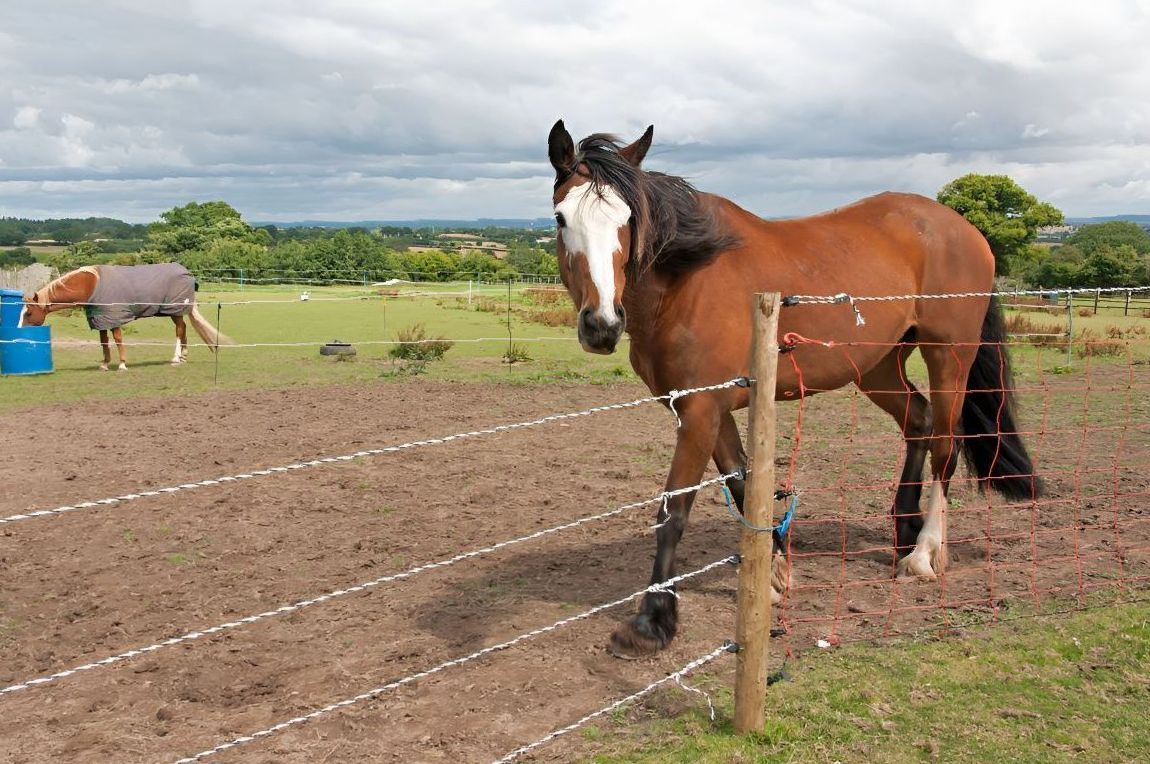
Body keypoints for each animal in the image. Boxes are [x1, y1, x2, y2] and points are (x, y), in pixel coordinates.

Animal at [19, 263, 232, 371]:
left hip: (175, 310)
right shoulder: (101, 319)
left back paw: (175, 358)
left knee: (179, 331)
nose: (19, 332)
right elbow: (104, 341)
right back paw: (183, 358)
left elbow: (118, 339)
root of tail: (187, 273)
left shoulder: (115, 317)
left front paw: (122, 364)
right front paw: (105, 364)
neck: (92, 284)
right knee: (184, 329)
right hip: (174, 312)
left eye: (28, 312)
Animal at [547, 120, 1040, 658]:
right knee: (920, 422)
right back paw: (903, 530)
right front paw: (775, 573)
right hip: (877, 367)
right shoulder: (707, 409)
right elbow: (743, 487)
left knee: (946, 447)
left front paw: (653, 620)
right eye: (560, 219)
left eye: (628, 219)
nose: (601, 324)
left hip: (949, 356)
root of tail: (966, 230)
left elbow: (673, 510)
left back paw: (925, 553)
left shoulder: (700, 410)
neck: (686, 280)